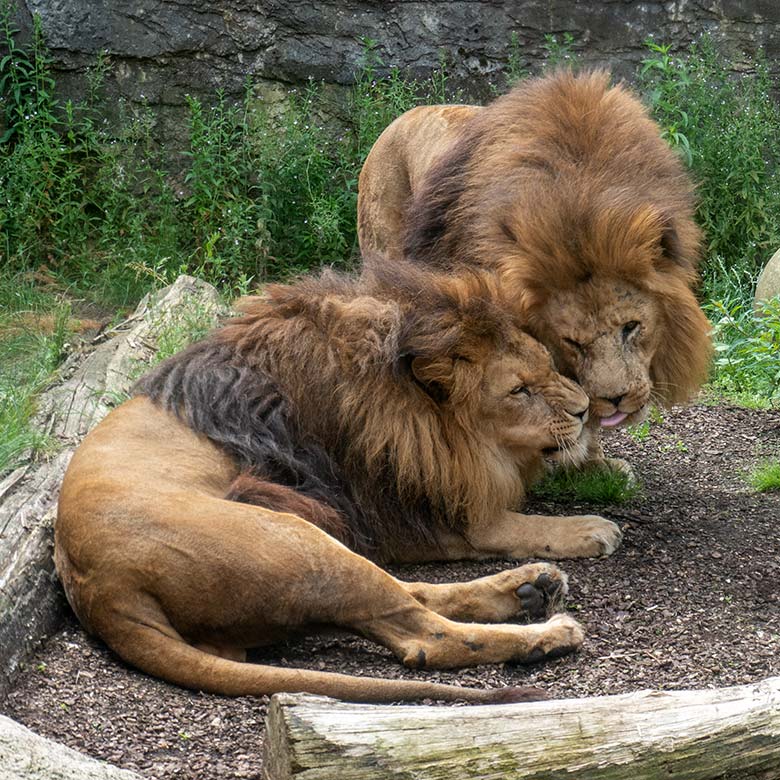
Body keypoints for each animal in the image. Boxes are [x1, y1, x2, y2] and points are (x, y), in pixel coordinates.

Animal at [53, 266, 620, 704]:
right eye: (518, 391)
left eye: (547, 365)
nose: (584, 409)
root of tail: (104, 590)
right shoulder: (407, 513)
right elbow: (512, 524)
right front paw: (589, 527)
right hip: (297, 541)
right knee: (425, 636)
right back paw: (547, 632)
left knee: (409, 594)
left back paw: (528, 588)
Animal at [360, 68, 712, 470]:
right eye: (572, 342)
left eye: (631, 327)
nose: (617, 400)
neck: (581, 194)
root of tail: (406, 113)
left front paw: (595, 463)